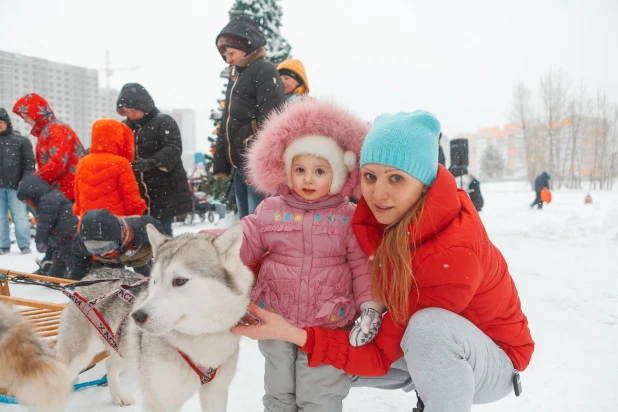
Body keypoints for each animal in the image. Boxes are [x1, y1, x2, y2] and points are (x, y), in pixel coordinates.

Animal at [55, 224, 253, 410]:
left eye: (179, 281)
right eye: (155, 281)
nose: (136, 316)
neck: (200, 339)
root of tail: (93, 274)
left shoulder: (216, 393)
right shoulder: (160, 401)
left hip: (122, 348)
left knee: (110, 364)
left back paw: (118, 395)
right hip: (78, 356)